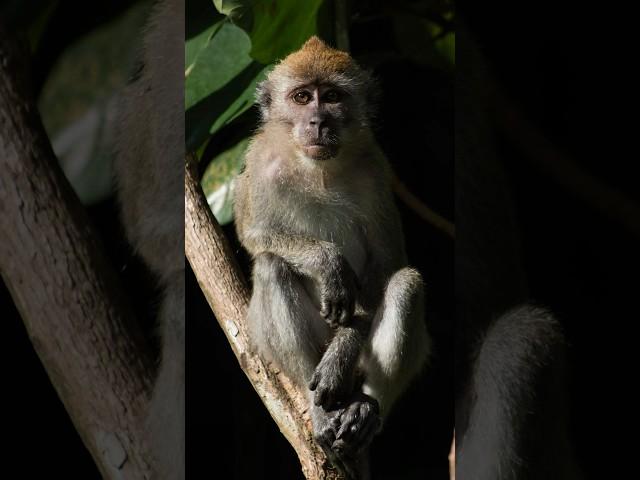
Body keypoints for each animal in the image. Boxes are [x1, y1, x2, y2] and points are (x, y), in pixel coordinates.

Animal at [232, 36, 428, 476]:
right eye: (302, 97)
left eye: (333, 97)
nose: (318, 122)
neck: (316, 168)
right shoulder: (258, 161)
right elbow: (253, 234)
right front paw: (328, 261)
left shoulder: (376, 169)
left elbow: (388, 261)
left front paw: (344, 348)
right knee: (272, 266)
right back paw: (320, 410)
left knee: (406, 283)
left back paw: (366, 409)